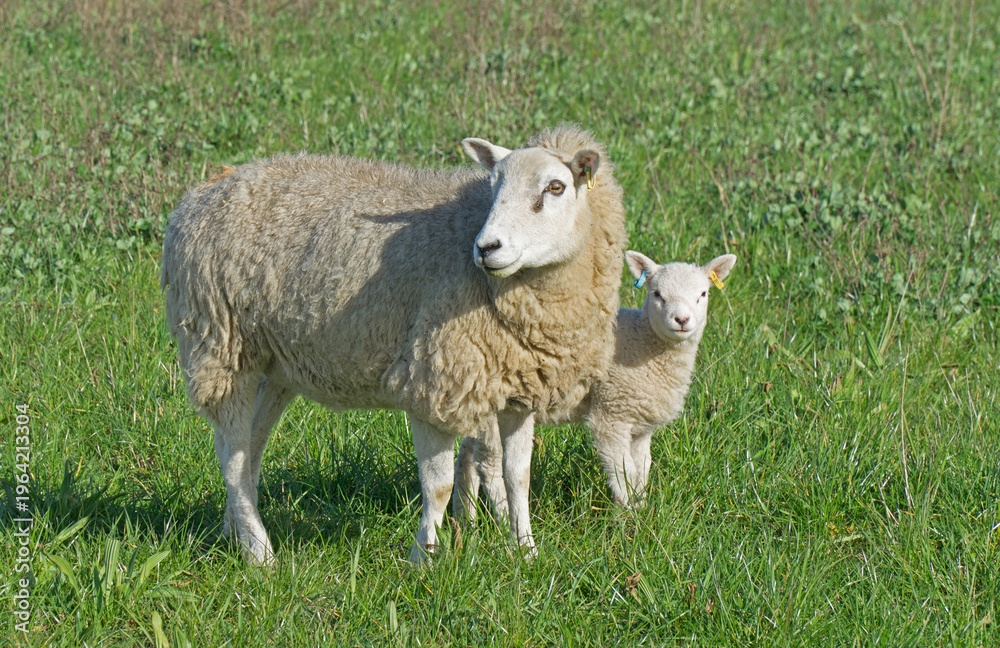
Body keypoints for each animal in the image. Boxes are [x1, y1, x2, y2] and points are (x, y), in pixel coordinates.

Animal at [160, 126, 627, 564]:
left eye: (556, 187)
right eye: (492, 186)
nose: (486, 247)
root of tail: (200, 194)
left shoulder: (519, 386)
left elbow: (518, 476)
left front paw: (525, 552)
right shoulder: (433, 382)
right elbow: (438, 486)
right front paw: (423, 559)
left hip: (274, 362)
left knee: (246, 446)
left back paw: (234, 533)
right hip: (219, 344)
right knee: (233, 458)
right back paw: (261, 553)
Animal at [453, 251, 737, 518]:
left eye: (703, 294)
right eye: (657, 294)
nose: (681, 319)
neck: (644, 343)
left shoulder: (640, 424)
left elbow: (642, 469)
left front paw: (642, 511)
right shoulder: (612, 413)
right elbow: (623, 472)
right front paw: (627, 519)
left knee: (466, 455)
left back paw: (466, 521)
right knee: (489, 466)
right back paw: (502, 520)